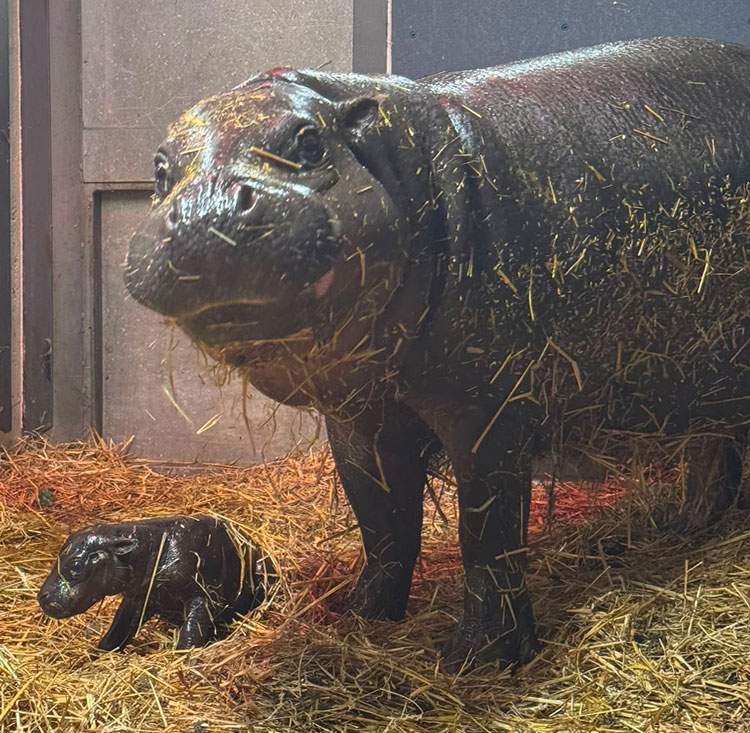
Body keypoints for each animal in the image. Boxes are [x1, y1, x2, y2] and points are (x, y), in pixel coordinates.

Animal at [38, 516, 275, 650]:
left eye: (77, 565)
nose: (42, 597)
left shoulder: (200, 597)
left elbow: (192, 630)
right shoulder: (138, 597)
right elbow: (118, 629)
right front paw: (95, 655)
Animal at [126, 37, 750, 670]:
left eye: (309, 141)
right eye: (160, 170)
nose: (206, 210)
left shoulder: (488, 411)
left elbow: (488, 532)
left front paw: (475, 660)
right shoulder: (360, 418)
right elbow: (382, 521)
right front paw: (360, 617)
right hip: (703, 376)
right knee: (713, 455)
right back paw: (680, 531)